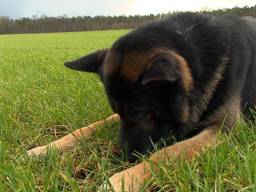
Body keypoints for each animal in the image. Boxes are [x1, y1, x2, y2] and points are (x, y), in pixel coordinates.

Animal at [27, 12, 256, 191]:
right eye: (119, 111)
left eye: (142, 112)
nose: (123, 158)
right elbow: (90, 126)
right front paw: (46, 148)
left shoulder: (225, 129)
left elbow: (169, 152)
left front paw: (122, 180)